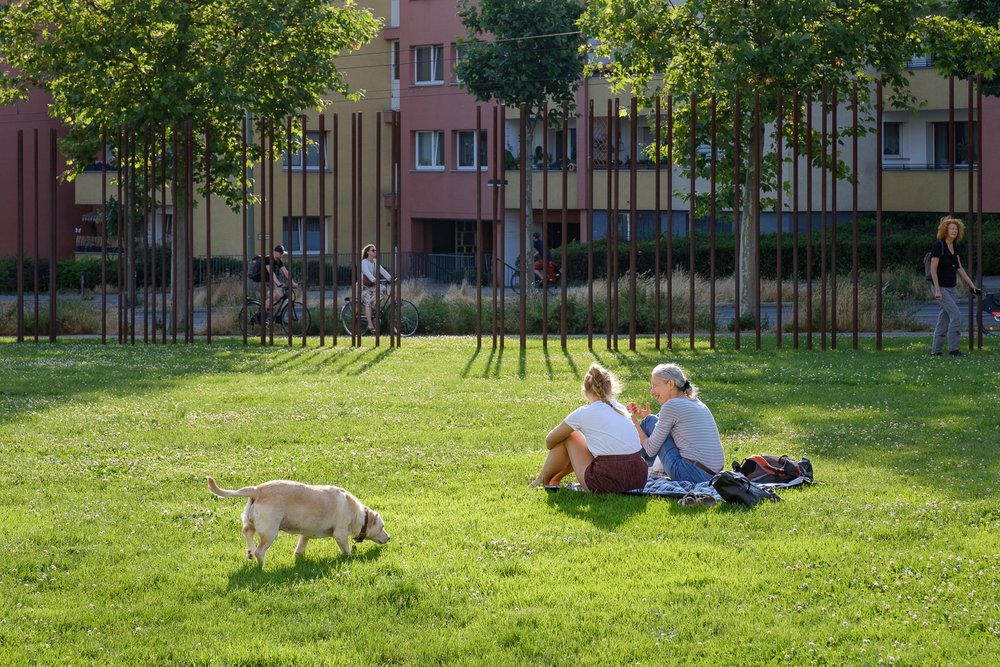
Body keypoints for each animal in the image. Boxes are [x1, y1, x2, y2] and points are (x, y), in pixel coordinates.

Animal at [205, 478, 388, 568]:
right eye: (382, 527)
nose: (389, 538)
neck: (358, 514)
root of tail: (257, 490)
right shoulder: (340, 533)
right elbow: (346, 549)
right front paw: (349, 558)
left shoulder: (306, 532)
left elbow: (302, 542)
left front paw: (299, 555)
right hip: (270, 531)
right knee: (260, 550)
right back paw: (261, 565)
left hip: (250, 520)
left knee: (247, 532)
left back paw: (250, 551)